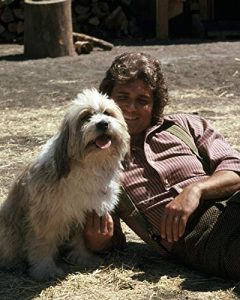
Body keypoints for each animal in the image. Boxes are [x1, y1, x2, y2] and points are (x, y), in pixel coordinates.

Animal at [0, 88, 129, 282]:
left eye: (107, 113)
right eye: (86, 117)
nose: (103, 124)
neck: (90, 164)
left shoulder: (83, 212)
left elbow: (81, 240)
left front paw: (84, 258)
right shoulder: (46, 217)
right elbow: (42, 243)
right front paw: (45, 270)